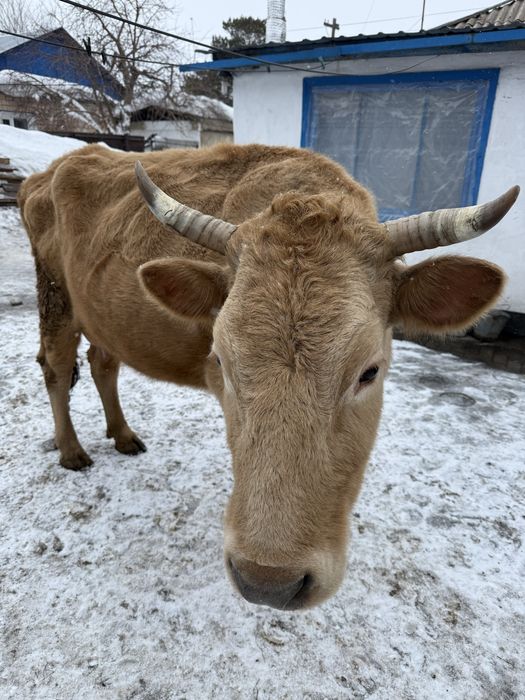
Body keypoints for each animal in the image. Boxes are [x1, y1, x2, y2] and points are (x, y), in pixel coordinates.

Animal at [18, 143, 519, 610]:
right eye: (221, 360)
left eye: (369, 371)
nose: (269, 582)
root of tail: (47, 173)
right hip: (55, 296)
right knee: (56, 368)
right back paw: (71, 450)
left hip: (99, 313)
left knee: (103, 362)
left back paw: (122, 435)